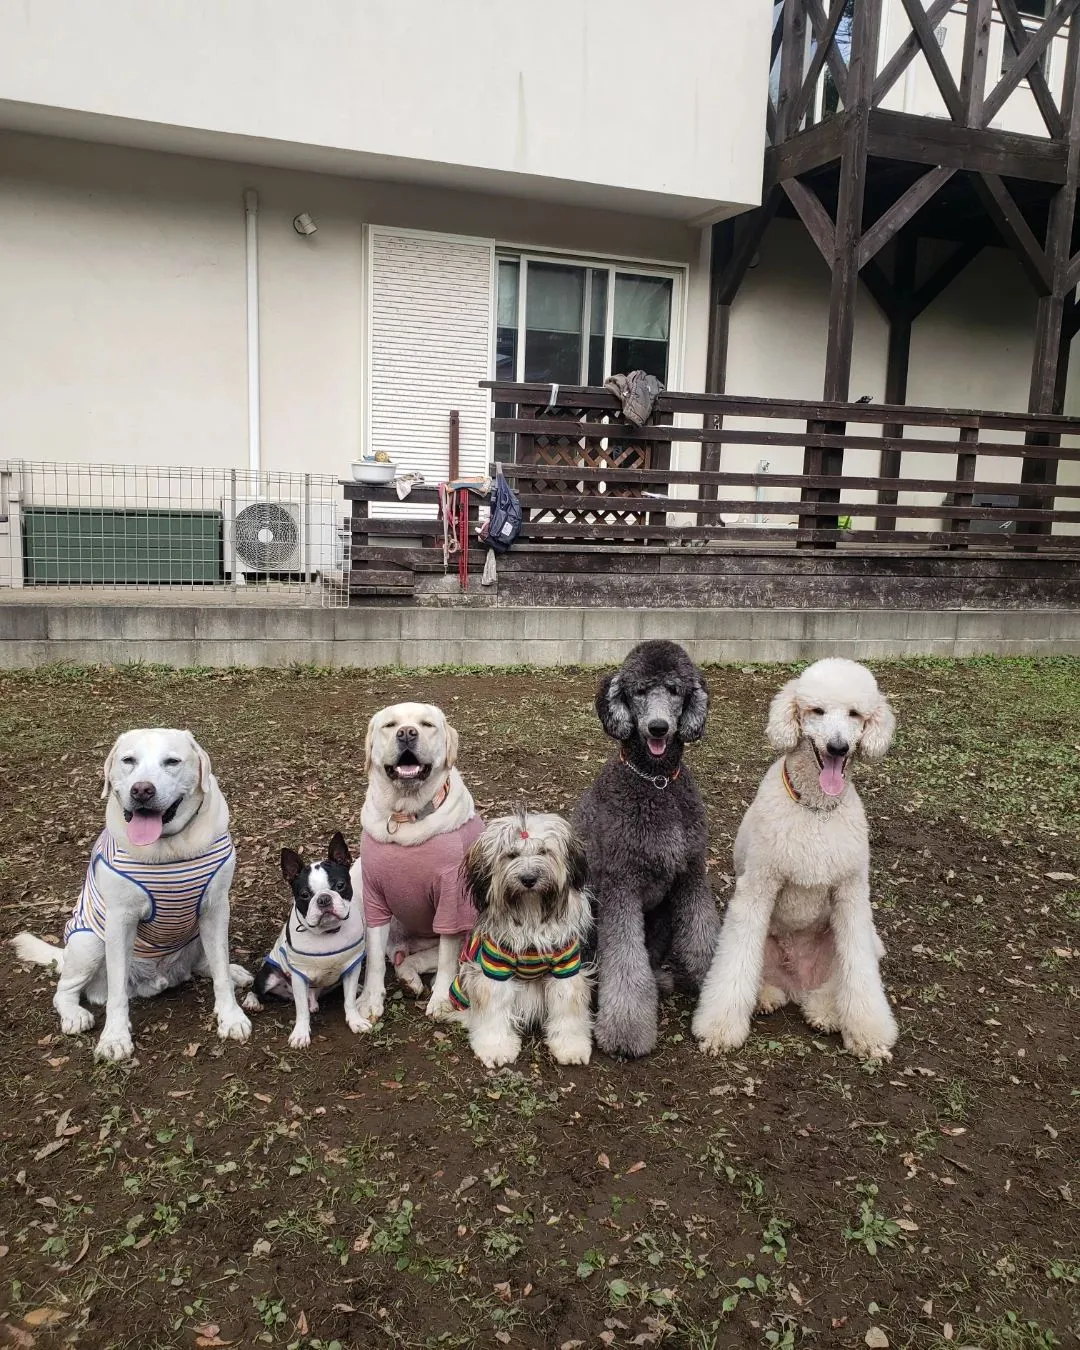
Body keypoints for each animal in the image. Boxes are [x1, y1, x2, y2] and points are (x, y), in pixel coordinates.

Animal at [572, 637, 718, 1058]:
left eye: (674, 689)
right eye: (638, 691)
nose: (658, 726)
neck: (655, 783)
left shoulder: (690, 874)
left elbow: (703, 935)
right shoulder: (621, 886)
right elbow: (624, 961)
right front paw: (625, 1032)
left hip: (664, 916)